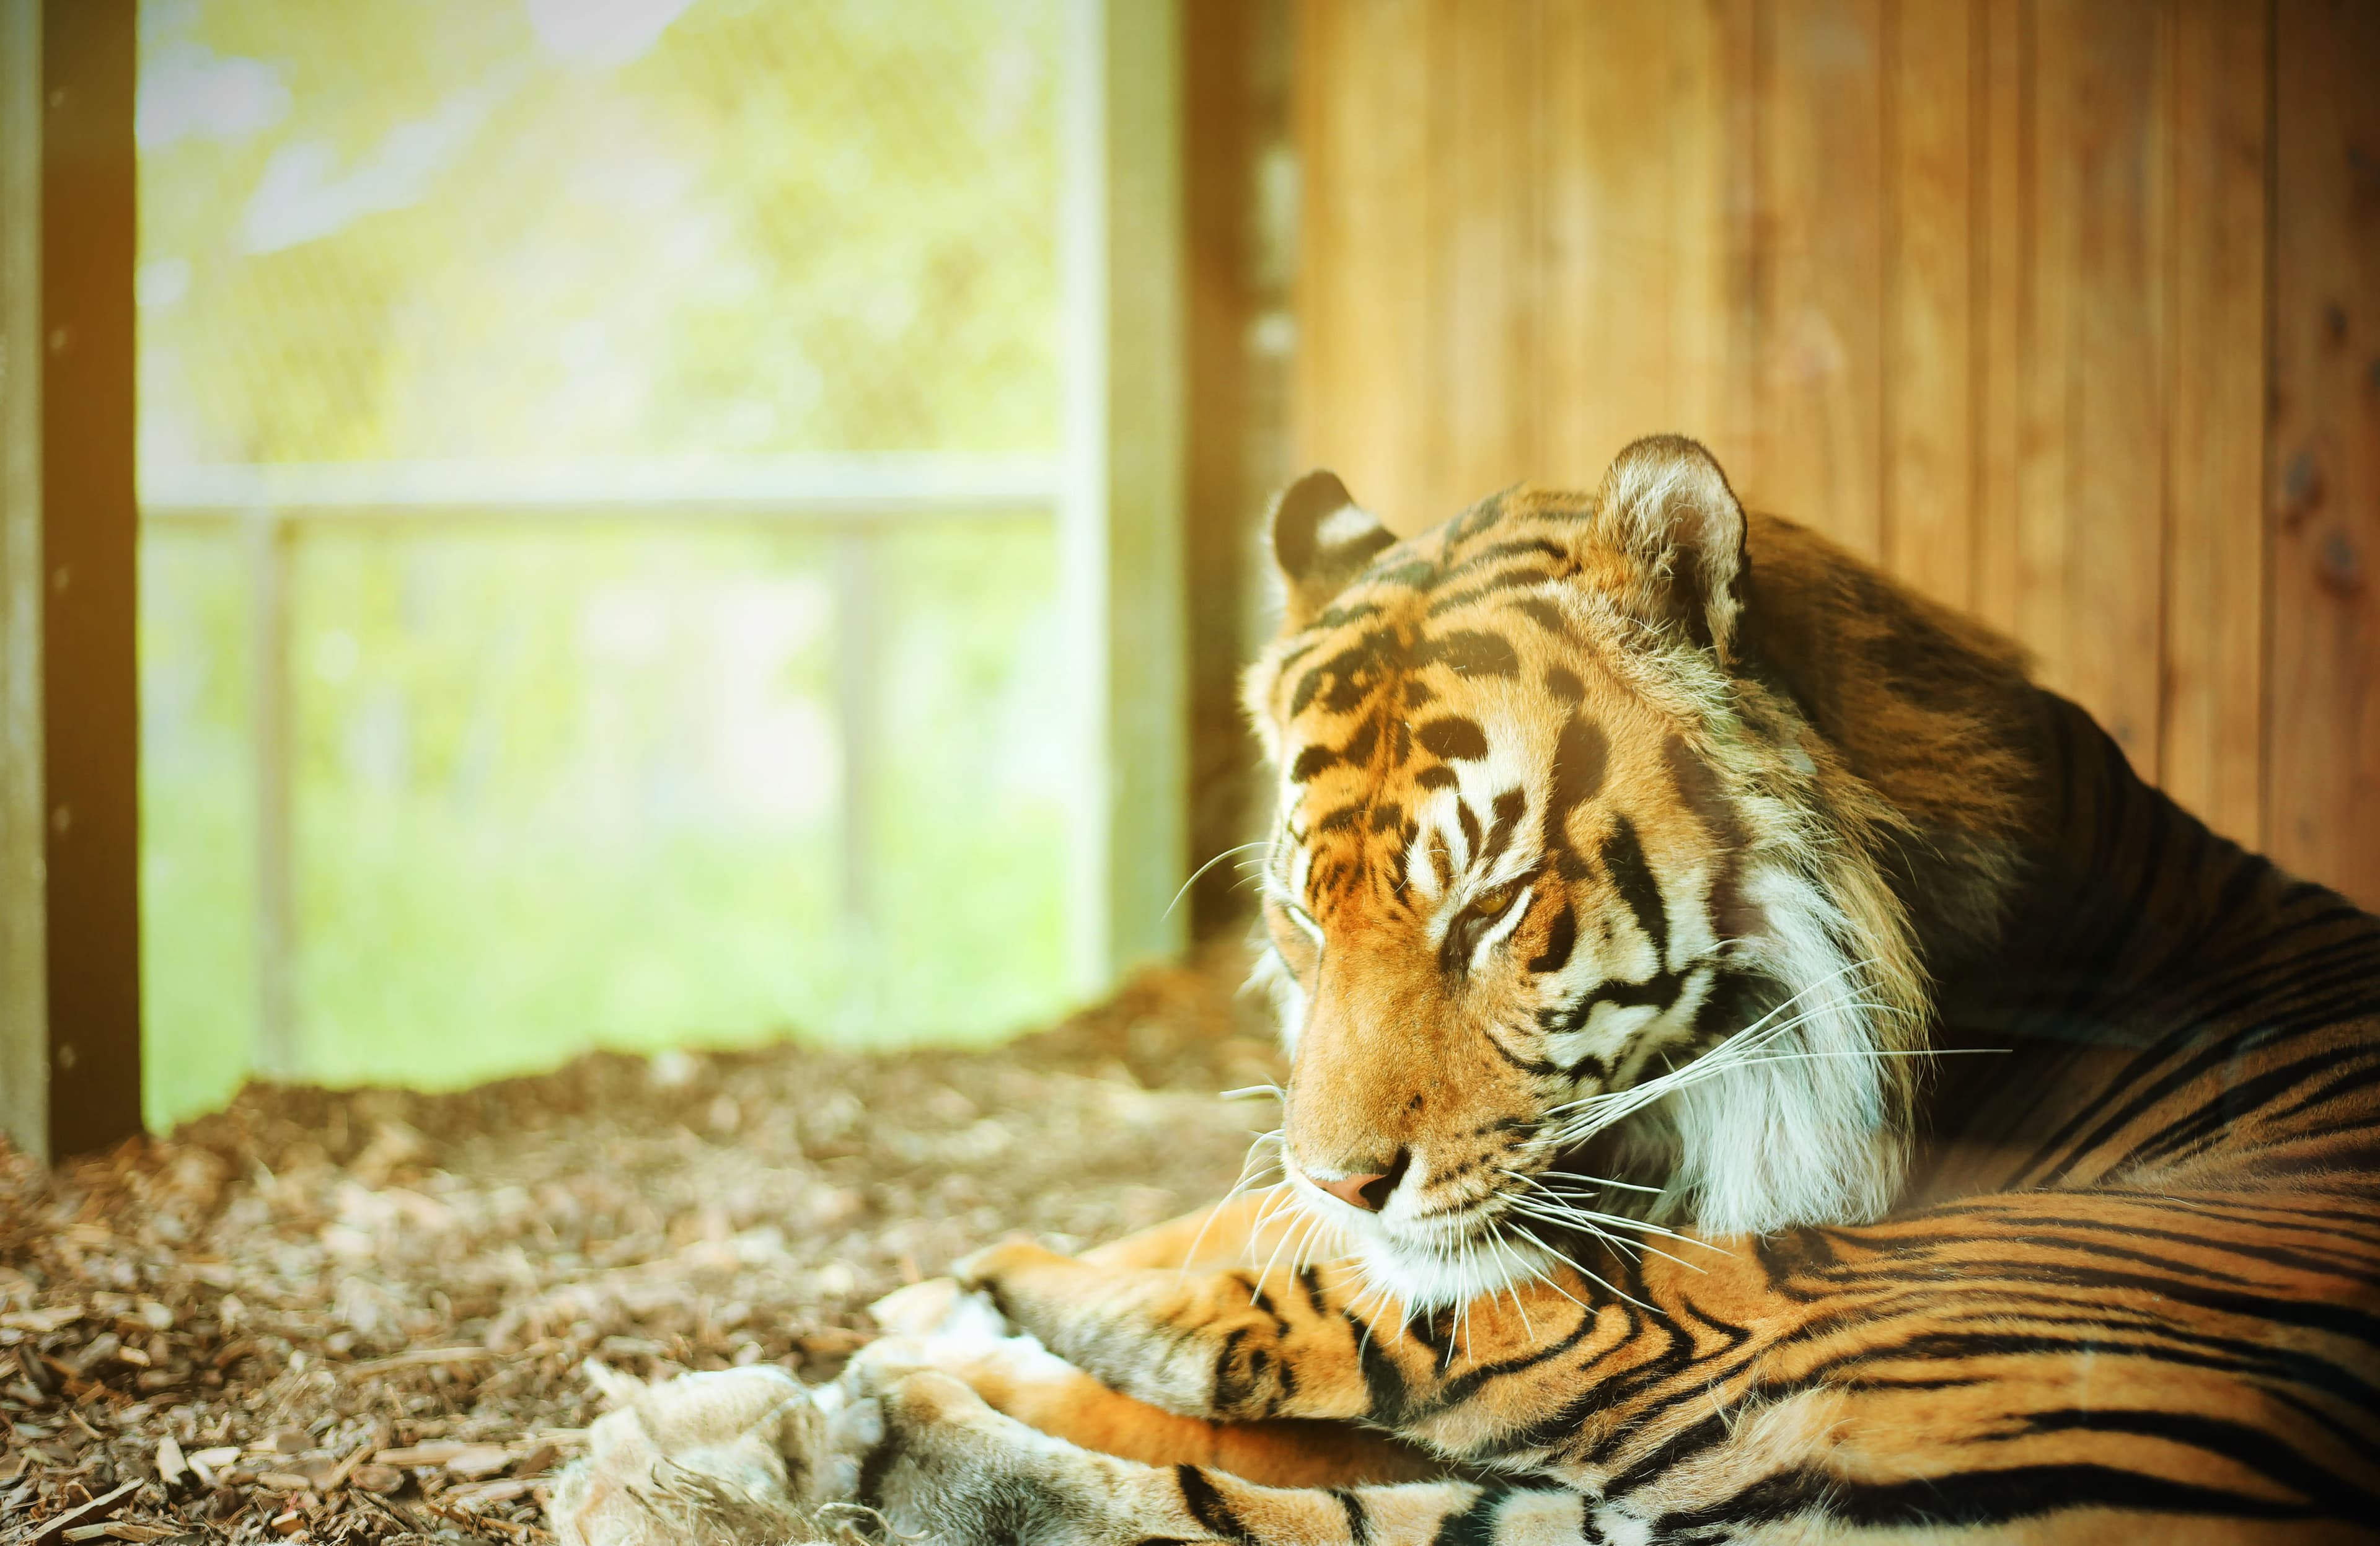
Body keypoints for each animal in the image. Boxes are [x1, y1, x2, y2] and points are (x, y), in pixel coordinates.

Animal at [841, 435, 2380, 1544]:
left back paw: (906, 1375)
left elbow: (1306, 1294)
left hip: (1823, 1301)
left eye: (1490, 906)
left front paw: (983, 1287)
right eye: (1299, 917)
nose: (1346, 1179)